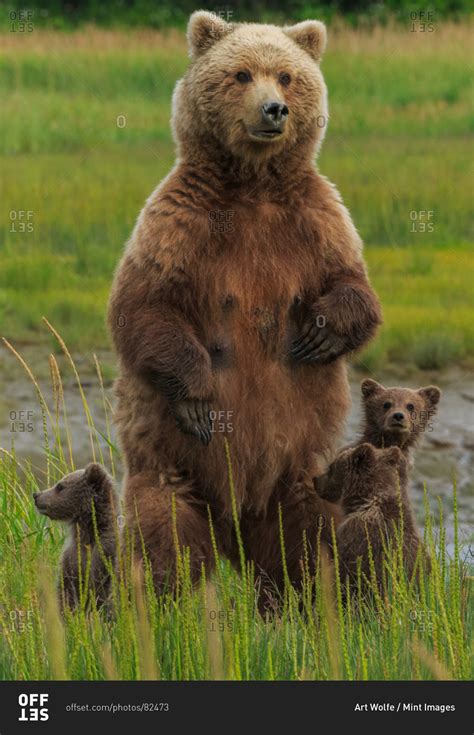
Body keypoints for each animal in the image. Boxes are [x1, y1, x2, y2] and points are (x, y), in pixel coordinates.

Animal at [108, 10, 382, 600]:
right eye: (240, 74)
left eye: (286, 76)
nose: (273, 109)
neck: (253, 185)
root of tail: (235, 516)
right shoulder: (178, 223)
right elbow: (144, 307)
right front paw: (196, 395)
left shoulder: (317, 221)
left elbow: (355, 288)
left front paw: (319, 333)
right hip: (170, 464)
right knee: (165, 534)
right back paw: (169, 601)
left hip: (299, 472)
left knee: (308, 539)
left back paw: (311, 599)